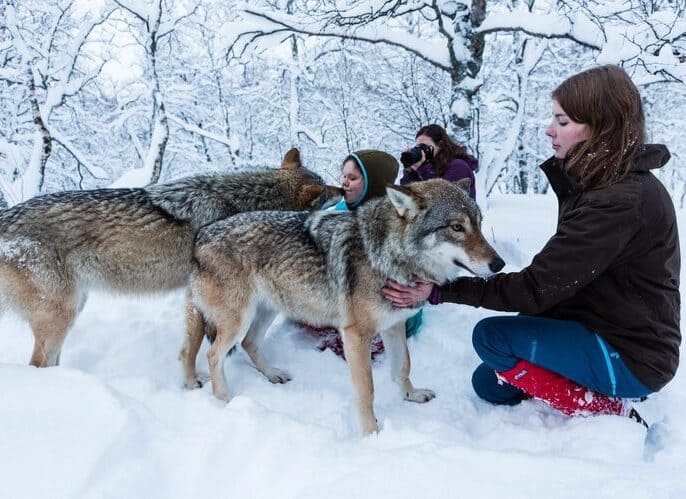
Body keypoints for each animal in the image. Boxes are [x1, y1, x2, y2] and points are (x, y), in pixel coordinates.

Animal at [0, 148, 342, 368]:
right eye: (328, 188)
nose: (344, 187)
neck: (241, 201)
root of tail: (6, 216)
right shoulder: (194, 294)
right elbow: (194, 344)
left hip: (72, 309)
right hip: (61, 315)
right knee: (37, 363)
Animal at [183, 178, 506, 436]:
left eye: (478, 224)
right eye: (456, 227)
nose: (499, 264)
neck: (388, 257)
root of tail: (200, 236)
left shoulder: (394, 325)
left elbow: (402, 367)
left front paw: (411, 395)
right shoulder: (355, 335)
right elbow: (367, 391)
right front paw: (372, 434)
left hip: (266, 311)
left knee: (248, 344)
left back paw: (273, 374)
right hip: (238, 319)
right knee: (213, 354)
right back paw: (224, 399)